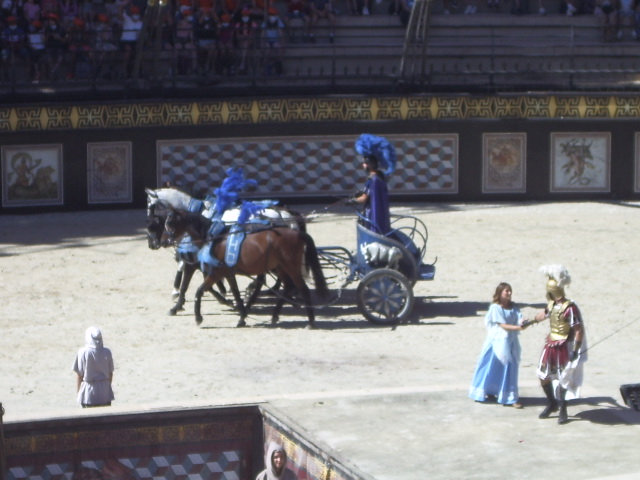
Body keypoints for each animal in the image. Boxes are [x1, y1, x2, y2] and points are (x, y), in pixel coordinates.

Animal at [164, 209, 330, 326]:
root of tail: (297, 233)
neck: (214, 238)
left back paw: (310, 321)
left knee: (302, 289)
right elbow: (236, 294)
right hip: (280, 268)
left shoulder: (216, 273)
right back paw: (275, 314)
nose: (167, 241)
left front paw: (198, 317)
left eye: (170, 222)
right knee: (288, 287)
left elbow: (199, 290)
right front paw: (241, 317)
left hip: (290, 267)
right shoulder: (227, 273)